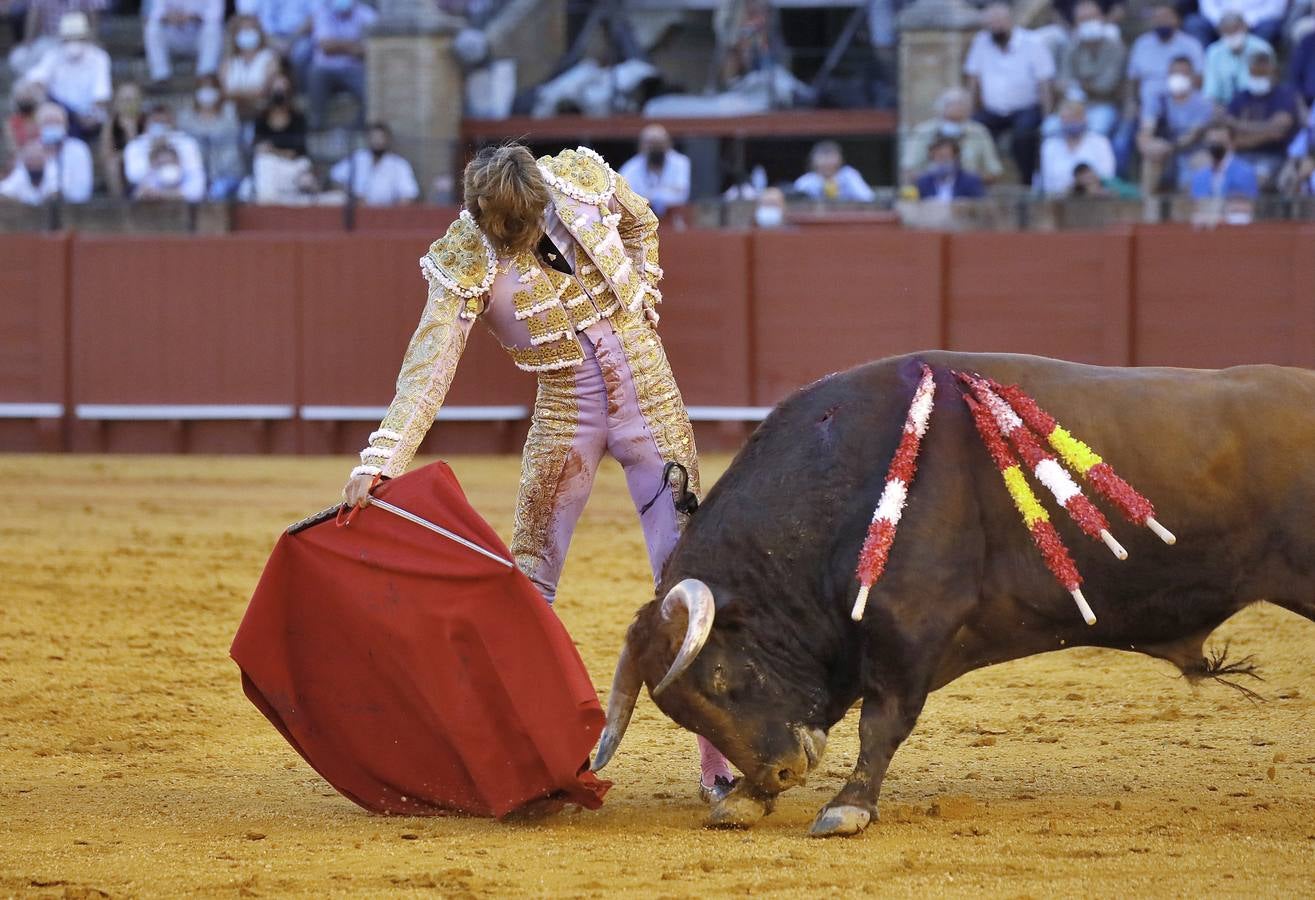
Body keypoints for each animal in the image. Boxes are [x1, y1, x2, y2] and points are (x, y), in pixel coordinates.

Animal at [589, 350, 1315, 836]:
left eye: (719, 678)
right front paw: (742, 796)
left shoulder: (909, 628)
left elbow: (880, 722)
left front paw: (845, 807)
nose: (779, 776)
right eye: (681, 709)